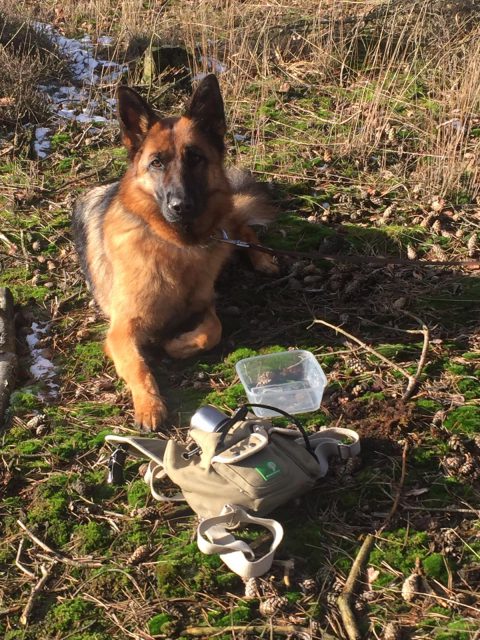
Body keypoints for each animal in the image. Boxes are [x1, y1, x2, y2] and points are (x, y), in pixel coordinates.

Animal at [73, 75, 280, 430]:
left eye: (195, 157)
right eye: (156, 163)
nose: (180, 206)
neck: (176, 246)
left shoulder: (205, 305)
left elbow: (212, 331)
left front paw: (174, 344)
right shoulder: (120, 331)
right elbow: (139, 366)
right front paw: (149, 405)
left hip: (224, 222)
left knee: (241, 225)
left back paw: (262, 257)